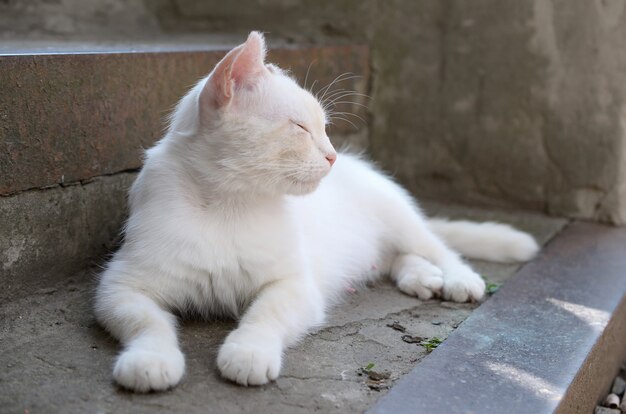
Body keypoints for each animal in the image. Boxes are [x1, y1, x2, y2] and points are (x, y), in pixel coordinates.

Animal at [92, 31, 536, 392]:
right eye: (302, 128)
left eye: (323, 128)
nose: (333, 155)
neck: (228, 205)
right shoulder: (121, 286)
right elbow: (147, 321)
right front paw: (150, 359)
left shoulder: (294, 285)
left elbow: (265, 314)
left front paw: (248, 352)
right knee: (395, 257)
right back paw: (421, 277)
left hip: (397, 215)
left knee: (437, 247)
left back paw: (457, 278)